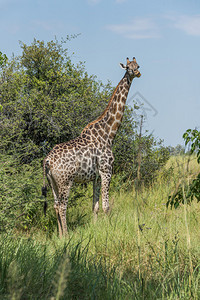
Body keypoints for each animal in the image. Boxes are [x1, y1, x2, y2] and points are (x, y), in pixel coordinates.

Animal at [42, 57, 141, 238]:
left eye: (138, 65)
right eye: (128, 68)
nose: (137, 73)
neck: (109, 133)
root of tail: (47, 161)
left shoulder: (95, 176)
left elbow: (95, 206)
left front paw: (95, 229)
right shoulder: (107, 170)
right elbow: (106, 206)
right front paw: (110, 229)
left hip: (52, 182)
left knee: (55, 205)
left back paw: (59, 235)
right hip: (66, 181)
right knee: (62, 206)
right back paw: (67, 235)